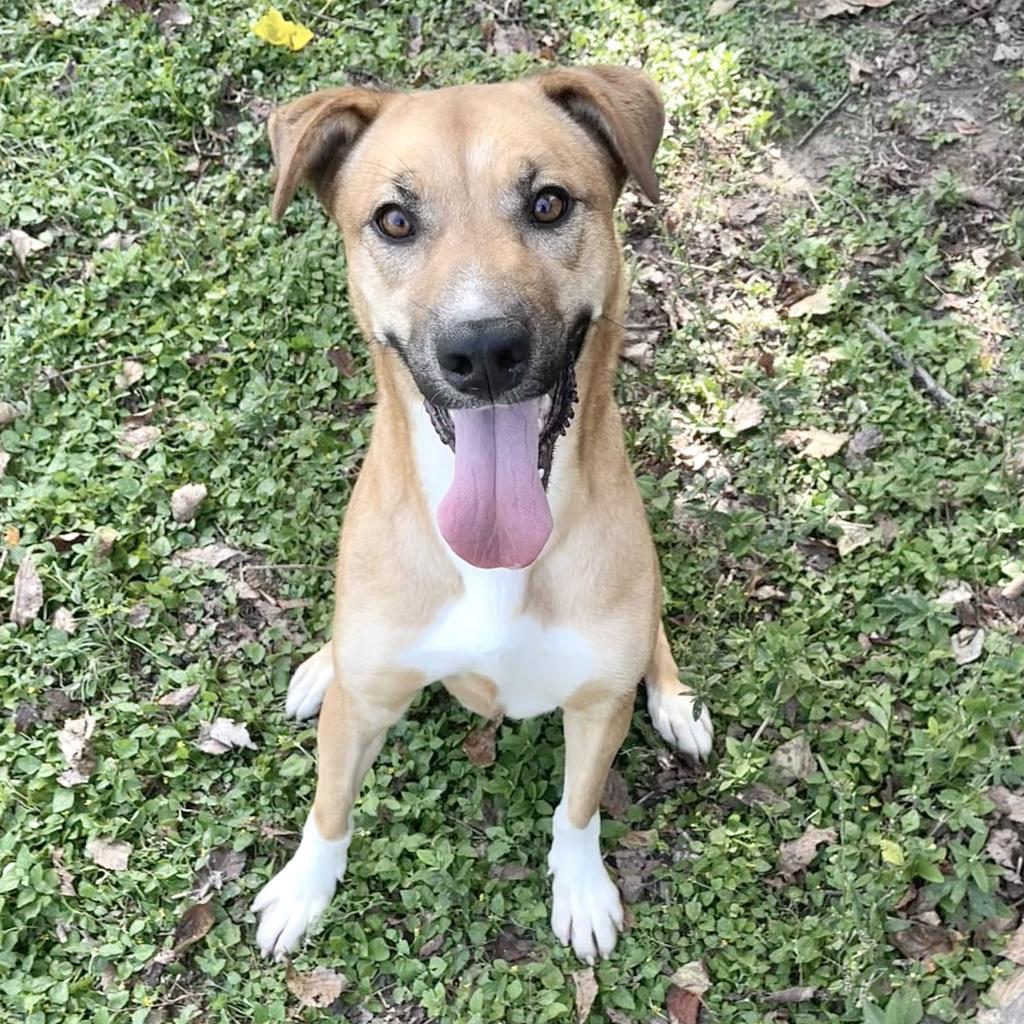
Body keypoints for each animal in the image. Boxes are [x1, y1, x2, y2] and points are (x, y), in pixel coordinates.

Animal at [249, 68, 712, 962]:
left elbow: (578, 807)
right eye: (394, 220)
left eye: (548, 204)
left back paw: (675, 701)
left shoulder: (596, 706)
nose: (485, 349)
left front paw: (581, 889)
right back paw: (321, 669)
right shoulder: (367, 705)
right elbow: (330, 805)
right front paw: (303, 888)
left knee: (655, 639)